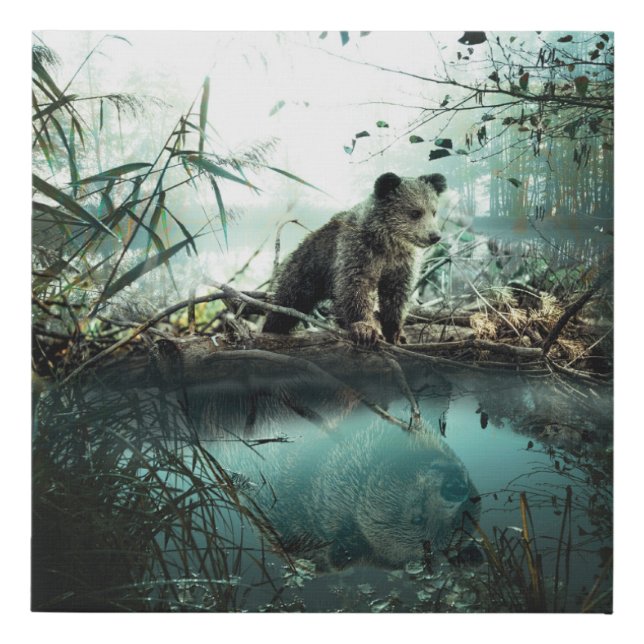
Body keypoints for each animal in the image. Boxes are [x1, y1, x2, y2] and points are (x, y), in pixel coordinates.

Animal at [262, 172, 447, 345]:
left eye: (434, 211)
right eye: (415, 212)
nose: (435, 236)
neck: (387, 244)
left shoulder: (401, 265)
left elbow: (395, 296)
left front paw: (395, 332)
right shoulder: (357, 252)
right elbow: (356, 287)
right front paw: (365, 328)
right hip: (306, 269)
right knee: (288, 301)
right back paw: (272, 328)